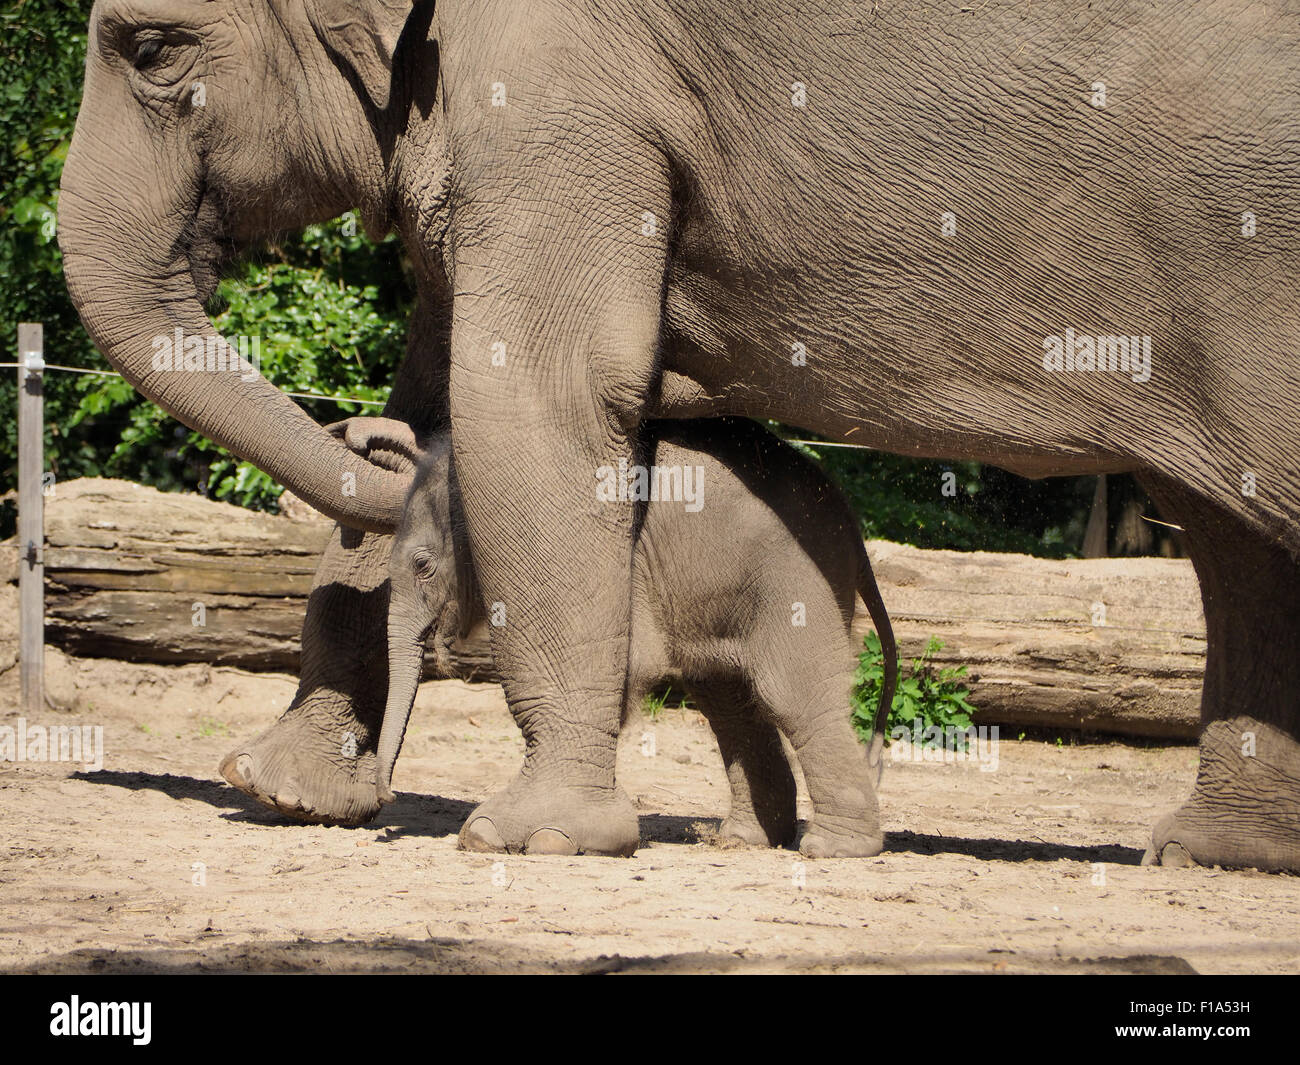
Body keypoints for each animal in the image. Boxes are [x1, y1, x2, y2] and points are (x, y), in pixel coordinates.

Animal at [356, 416, 904, 858]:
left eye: (423, 565)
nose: (388, 798)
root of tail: (853, 529)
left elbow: (628, 666)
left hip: (797, 583)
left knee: (789, 693)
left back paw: (833, 849)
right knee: (727, 696)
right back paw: (743, 840)